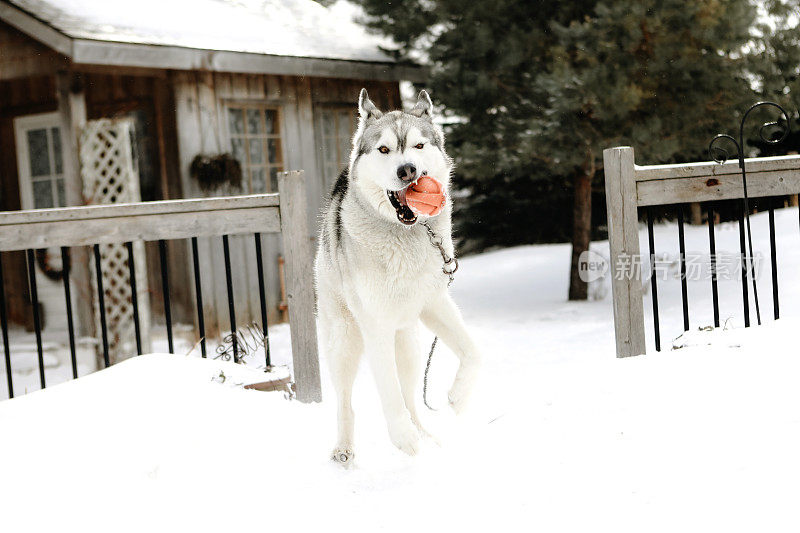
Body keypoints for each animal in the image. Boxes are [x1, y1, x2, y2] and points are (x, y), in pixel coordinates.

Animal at [316, 89, 482, 464]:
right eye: (384, 150)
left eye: (419, 145)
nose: (408, 170)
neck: (405, 236)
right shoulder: (374, 324)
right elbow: (388, 392)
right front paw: (402, 438)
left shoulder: (434, 303)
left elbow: (472, 352)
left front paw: (459, 397)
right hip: (345, 340)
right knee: (346, 402)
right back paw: (345, 448)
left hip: (408, 343)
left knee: (410, 396)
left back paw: (425, 435)